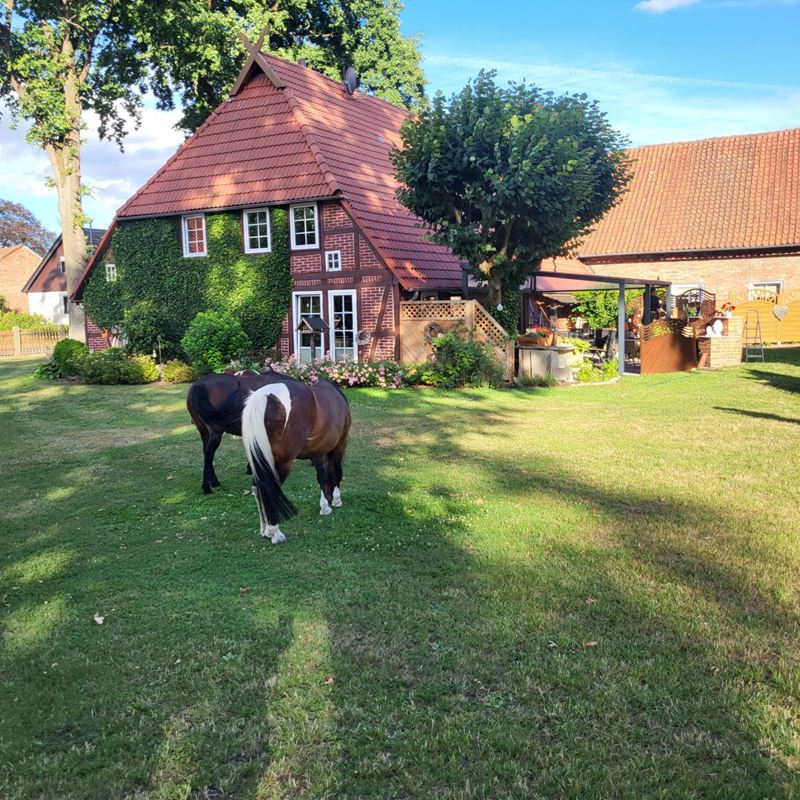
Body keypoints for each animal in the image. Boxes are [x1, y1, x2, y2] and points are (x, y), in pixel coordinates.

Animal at [241, 378, 351, 544]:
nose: (331, 499)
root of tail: (265, 396)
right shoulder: (339, 446)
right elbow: (336, 471)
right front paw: (335, 500)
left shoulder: (316, 451)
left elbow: (321, 475)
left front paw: (324, 506)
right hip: (282, 464)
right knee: (270, 488)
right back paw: (275, 533)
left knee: (257, 487)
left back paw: (265, 530)